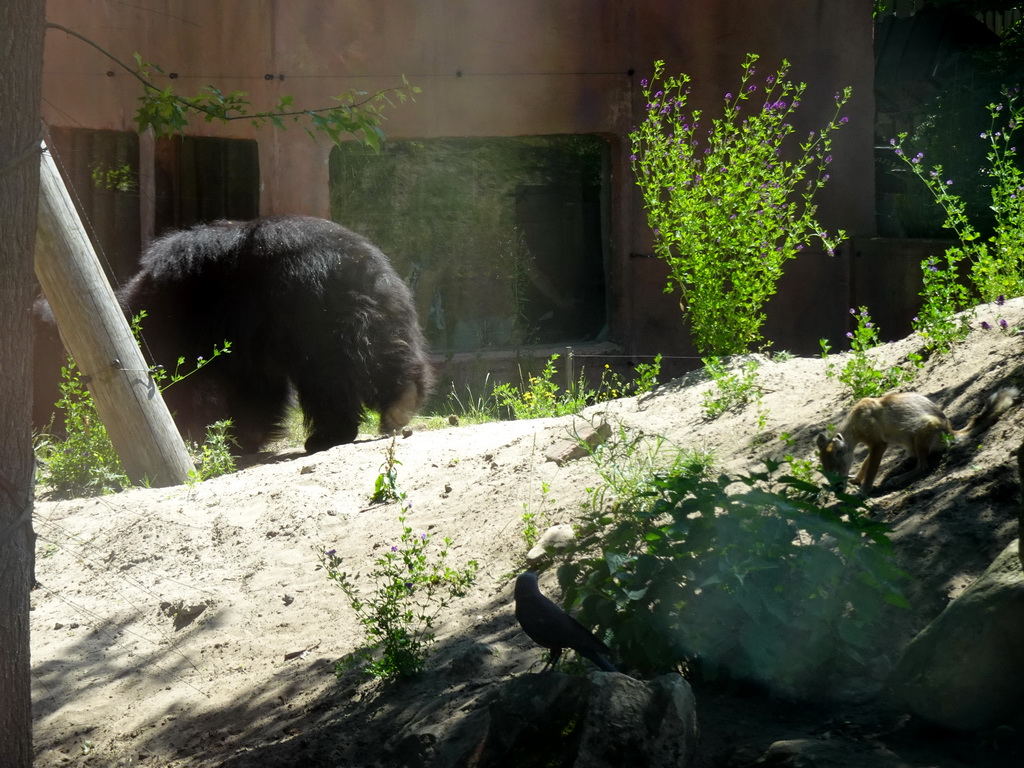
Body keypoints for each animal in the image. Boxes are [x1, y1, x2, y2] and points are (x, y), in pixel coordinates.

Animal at [117, 217, 432, 454]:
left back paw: (327, 435)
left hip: (310, 317)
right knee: (383, 354)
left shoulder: (231, 325)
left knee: (327, 379)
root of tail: (352, 260)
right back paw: (400, 405)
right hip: (372, 310)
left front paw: (238, 439)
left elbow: (248, 385)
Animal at [815, 387, 1015, 495]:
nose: (837, 491)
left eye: (837, 471)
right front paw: (856, 480)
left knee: (922, 466)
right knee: (917, 460)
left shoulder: (879, 445)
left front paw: (863, 492)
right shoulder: (876, 446)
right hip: (909, 443)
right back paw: (901, 468)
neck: (857, 420)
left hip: (921, 432)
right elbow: (865, 465)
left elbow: (870, 471)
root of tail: (950, 432)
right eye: (827, 473)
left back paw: (897, 478)